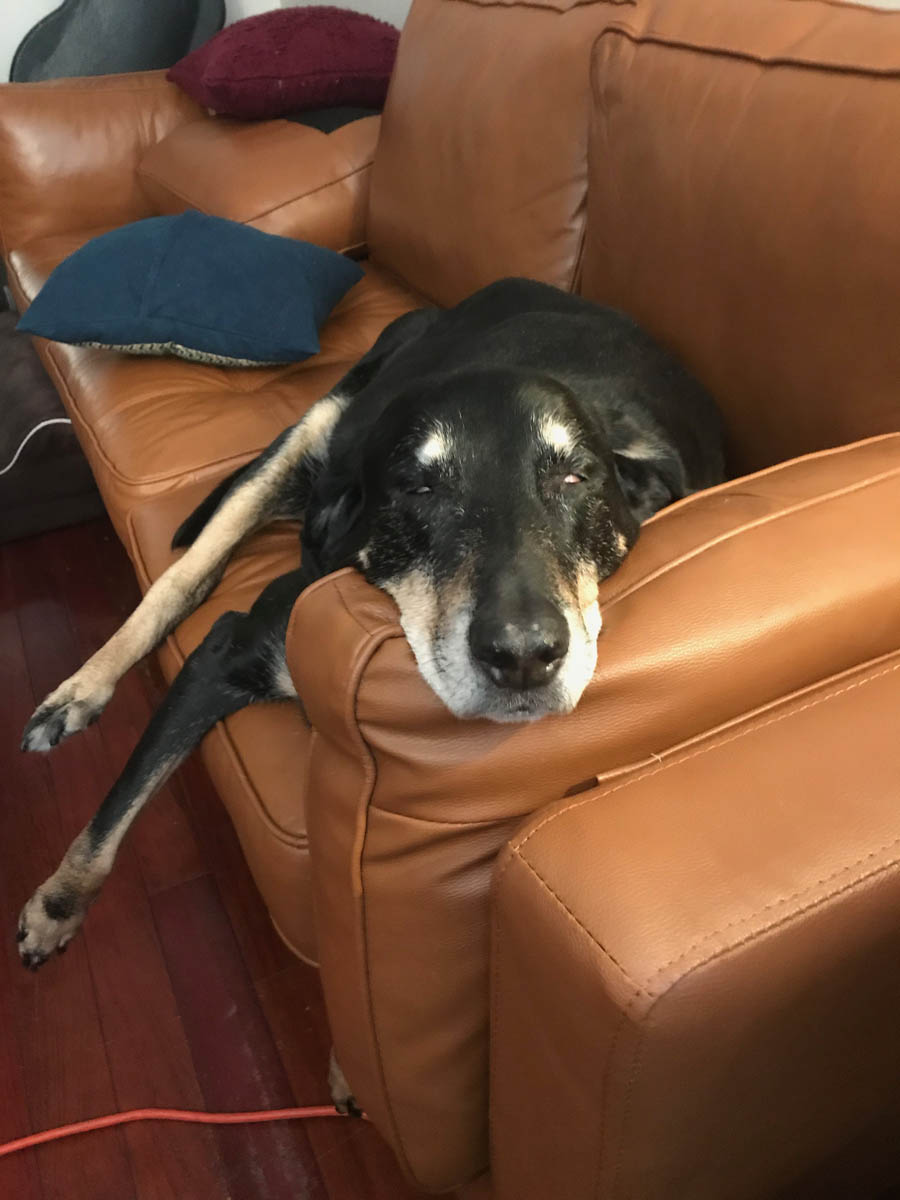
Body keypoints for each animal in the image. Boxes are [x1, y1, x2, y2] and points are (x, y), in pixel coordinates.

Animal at [15, 276, 724, 969]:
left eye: (576, 478)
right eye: (418, 488)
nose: (523, 655)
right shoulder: (225, 650)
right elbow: (119, 803)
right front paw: (57, 905)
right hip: (312, 429)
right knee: (185, 575)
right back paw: (78, 692)